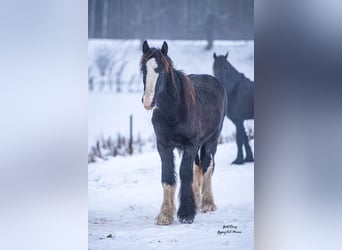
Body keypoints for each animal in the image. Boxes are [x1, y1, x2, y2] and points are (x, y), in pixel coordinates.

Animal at [140, 40, 226, 225]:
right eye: (144, 69)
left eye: (161, 71)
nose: (148, 101)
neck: (174, 111)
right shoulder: (164, 146)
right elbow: (168, 176)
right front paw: (165, 214)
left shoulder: (190, 145)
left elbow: (185, 174)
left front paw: (186, 214)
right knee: (197, 167)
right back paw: (197, 201)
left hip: (211, 141)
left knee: (207, 166)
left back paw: (208, 203)